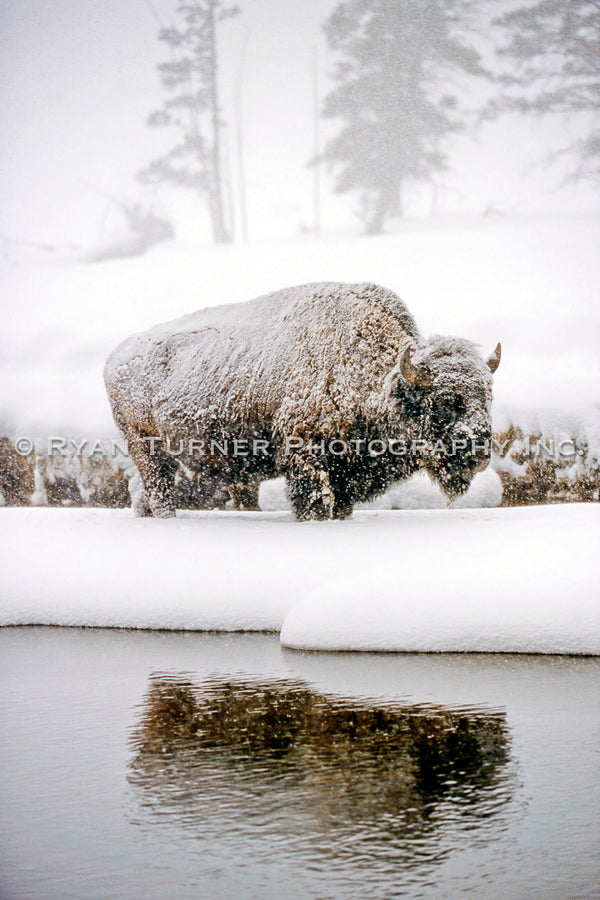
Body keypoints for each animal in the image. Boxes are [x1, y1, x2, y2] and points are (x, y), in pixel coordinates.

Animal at [105, 282, 500, 520]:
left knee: (142, 491)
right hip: (145, 447)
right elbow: (314, 503)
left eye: (488, 396)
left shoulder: (347, 475)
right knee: (159, 492)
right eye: (445, 401)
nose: (480, 451)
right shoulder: (307, 458)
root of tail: (116, 356)